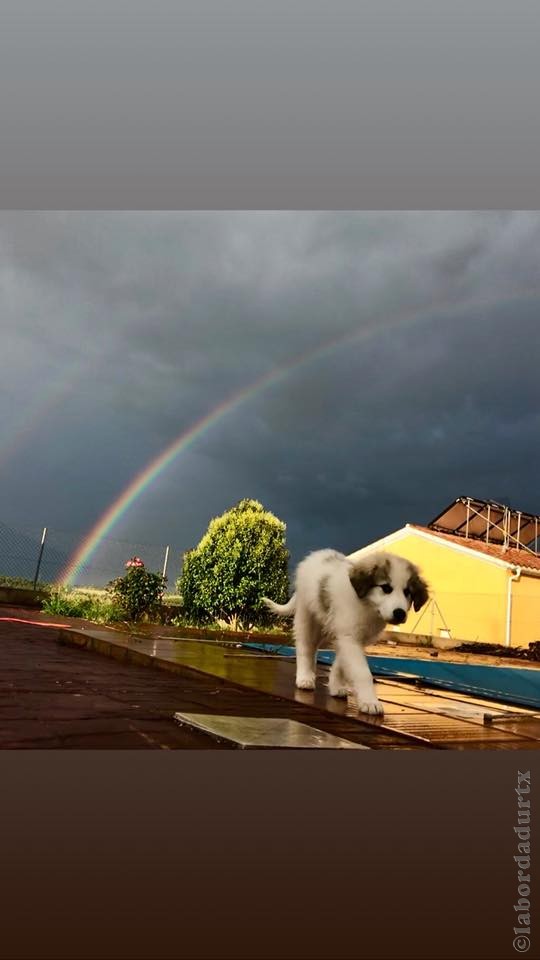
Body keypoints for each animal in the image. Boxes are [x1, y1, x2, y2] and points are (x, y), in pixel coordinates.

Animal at [264, 548, 428, 712]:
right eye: (386, 588)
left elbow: (341, 664)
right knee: (305, 647)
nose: (400, 613)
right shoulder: (349, 638)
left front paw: (336, 686)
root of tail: (315, 555)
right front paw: (370, 702)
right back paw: (304, 677)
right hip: (307, 617)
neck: (367, 606)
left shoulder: (350, 638)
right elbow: (362, 672)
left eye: (407, 592)